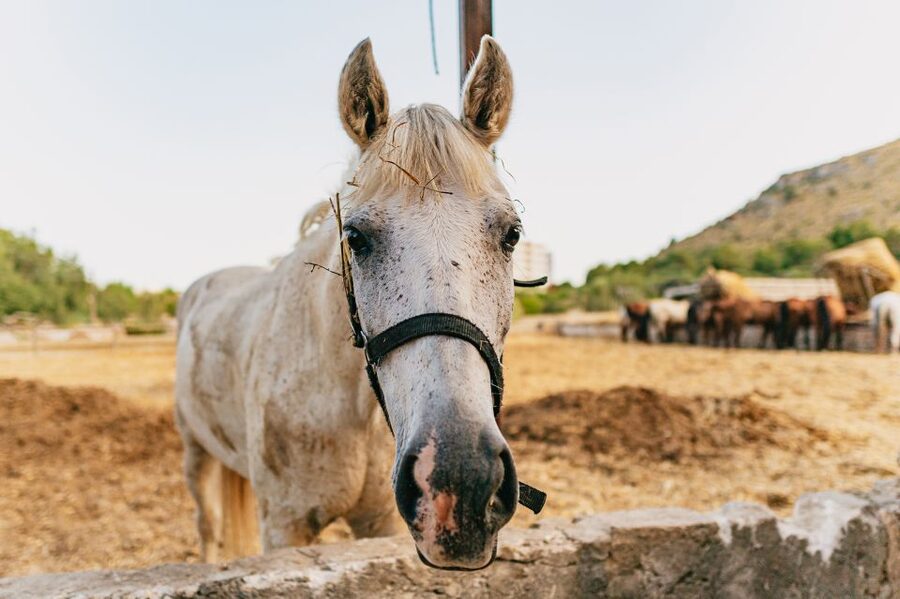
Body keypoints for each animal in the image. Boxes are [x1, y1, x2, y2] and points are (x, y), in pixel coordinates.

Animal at [175, 37, 525, 570]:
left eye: (511, 234)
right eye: (355, 238)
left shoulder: (379, 524)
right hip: (196, 453)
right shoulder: (285, 525)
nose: (461, 483)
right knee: (209, 527)